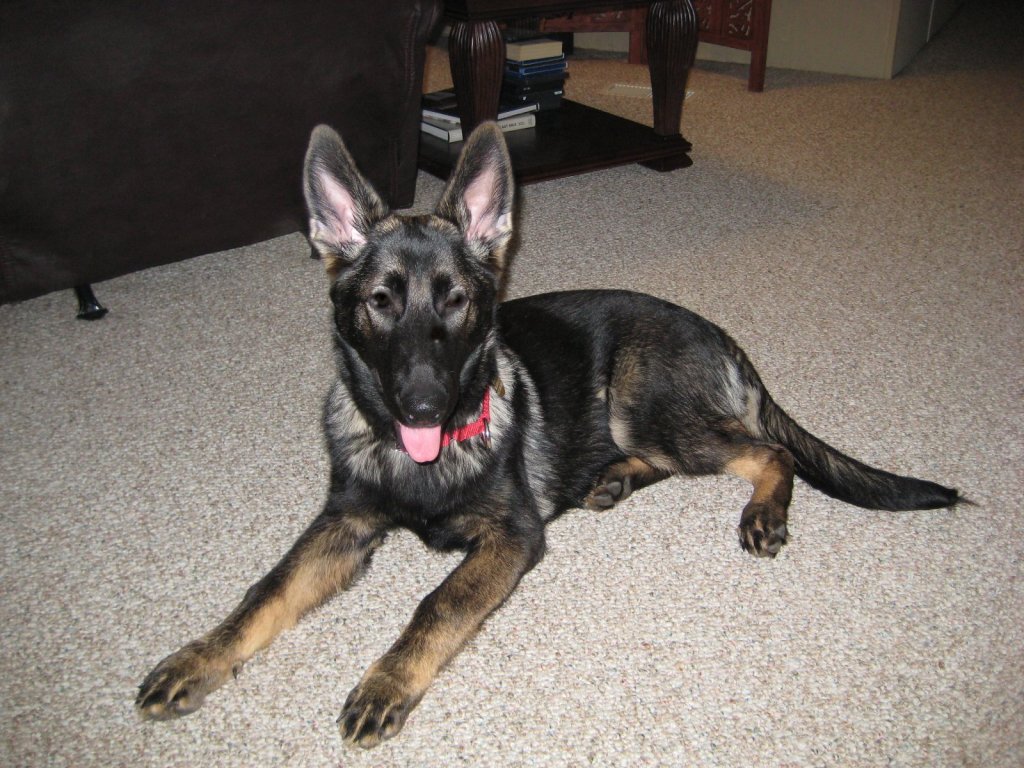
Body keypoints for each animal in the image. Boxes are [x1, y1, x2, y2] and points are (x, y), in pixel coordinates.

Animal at [136, 122, 960, 748]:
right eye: (380, 301)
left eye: (457, 301)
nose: (425, 407)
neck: (419, 464)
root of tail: (721, 335)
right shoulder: (343, 525)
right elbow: (265, 592)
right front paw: (198, 658)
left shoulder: (511, 536)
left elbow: (435, 605)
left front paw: (385, 682)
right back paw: (612, 479)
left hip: (639, 396)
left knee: (769, 449)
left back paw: (760, 511)